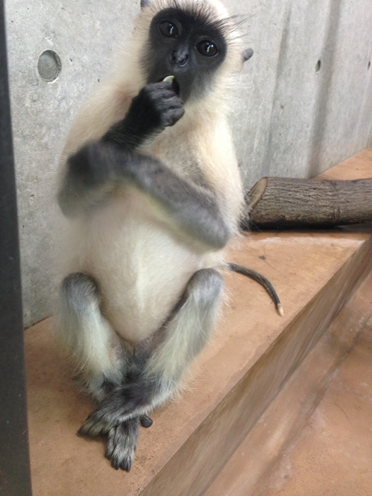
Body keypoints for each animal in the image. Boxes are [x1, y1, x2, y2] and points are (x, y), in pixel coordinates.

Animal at [53, 0, 280, 472]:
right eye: (170, 29)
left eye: (207, 48)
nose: (178, 60)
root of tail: (137, 355)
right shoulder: (102, 105)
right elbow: (69, 200)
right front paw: (135, 129)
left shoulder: (214, 138)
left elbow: (216, 233)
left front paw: (125, 154)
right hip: (116, 348)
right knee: (77, 287)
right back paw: (113, 400)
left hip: (159, 345)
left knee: (208, 282)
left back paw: (144, 394)